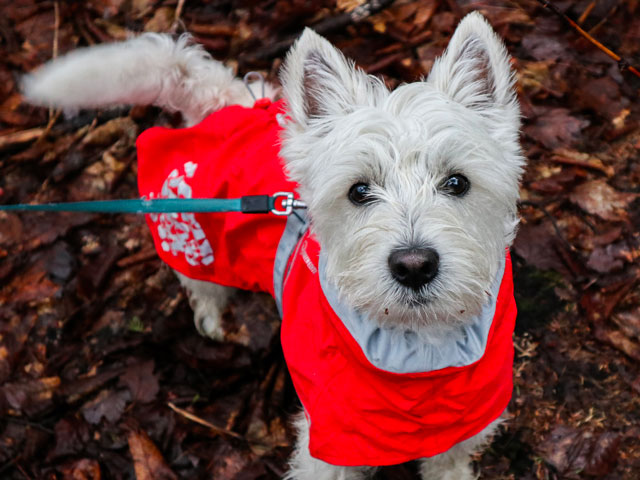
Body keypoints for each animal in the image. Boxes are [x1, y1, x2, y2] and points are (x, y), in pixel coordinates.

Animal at [23, 12, 524, 480]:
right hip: (192, 241)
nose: (414, 265)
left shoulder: (473, 406)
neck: (420, 352)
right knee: (201, 287)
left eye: (457, 182)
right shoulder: (331, 435)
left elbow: (449, 458)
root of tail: (223, 102)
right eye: (359, 191)